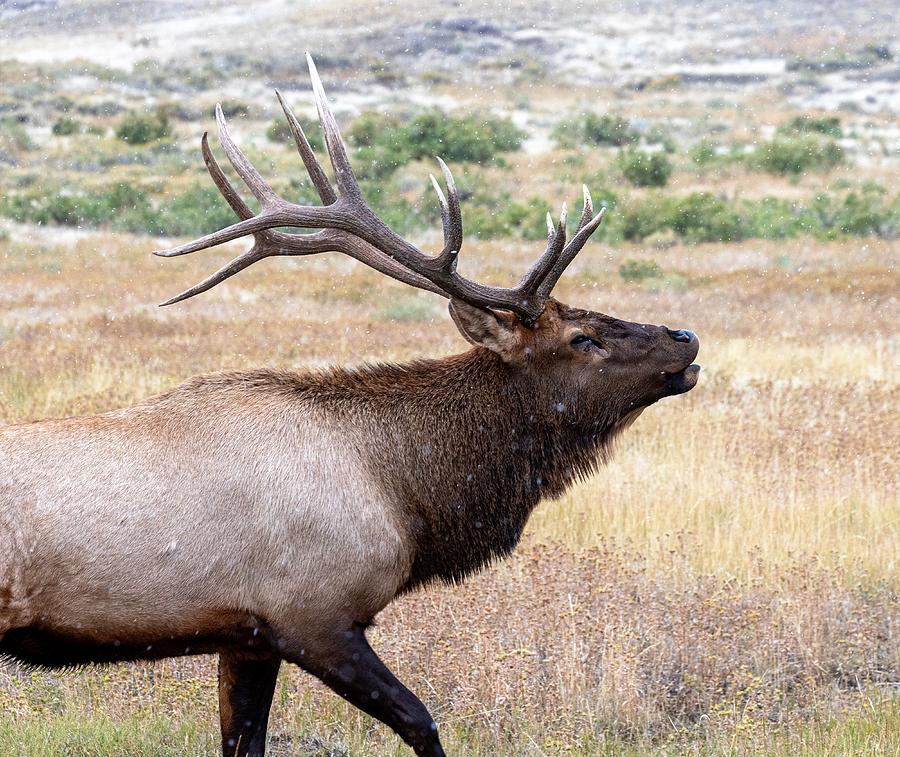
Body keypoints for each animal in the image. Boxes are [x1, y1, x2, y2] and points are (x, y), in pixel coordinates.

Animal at [0, 54, 700, 756]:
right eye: (581, 338)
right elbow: (421, 721)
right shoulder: (314, 616)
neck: (404, 494)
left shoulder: (247, 636)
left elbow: (244, 741)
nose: (685, 338)